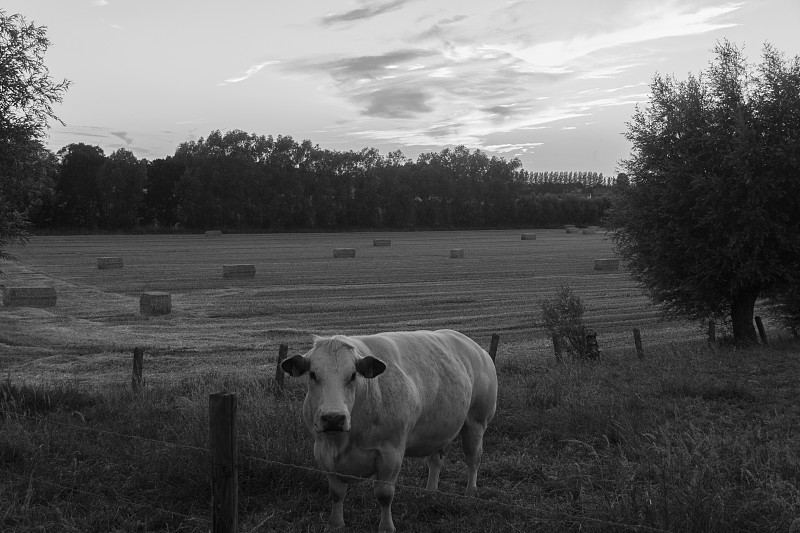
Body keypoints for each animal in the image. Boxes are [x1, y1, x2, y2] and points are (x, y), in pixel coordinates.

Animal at [280, 326, 494, 528]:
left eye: (353, 375)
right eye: (313, 374)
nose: (333, 418)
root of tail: (476, 348)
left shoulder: (391, 453)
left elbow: (384, 495)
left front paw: (386, 526)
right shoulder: (322, 451)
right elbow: (336, 493)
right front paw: (335, 523)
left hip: (476, 422)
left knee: (473, 459)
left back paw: (469, 493)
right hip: (437, 430)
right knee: (435, 460)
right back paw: (430, 492)